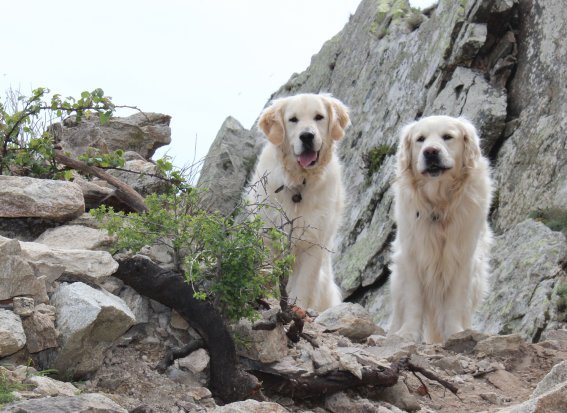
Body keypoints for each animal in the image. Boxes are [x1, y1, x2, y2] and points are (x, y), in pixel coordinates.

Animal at [247, 93, 350, 312]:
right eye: (293, 119)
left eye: (319, 117)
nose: (307, 136)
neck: (298, 184)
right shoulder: (270, 238)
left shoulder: (313, 241)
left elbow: (303, 283)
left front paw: (297, 308)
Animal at [388, 115, 493, 344]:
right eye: (420, 139)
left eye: (447, 136)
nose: (430, 152)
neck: (440, 203)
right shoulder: (412, 255)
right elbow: (414, 300)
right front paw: (408, 334)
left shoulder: (462, 258)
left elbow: (454, 303)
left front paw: (456, 333)